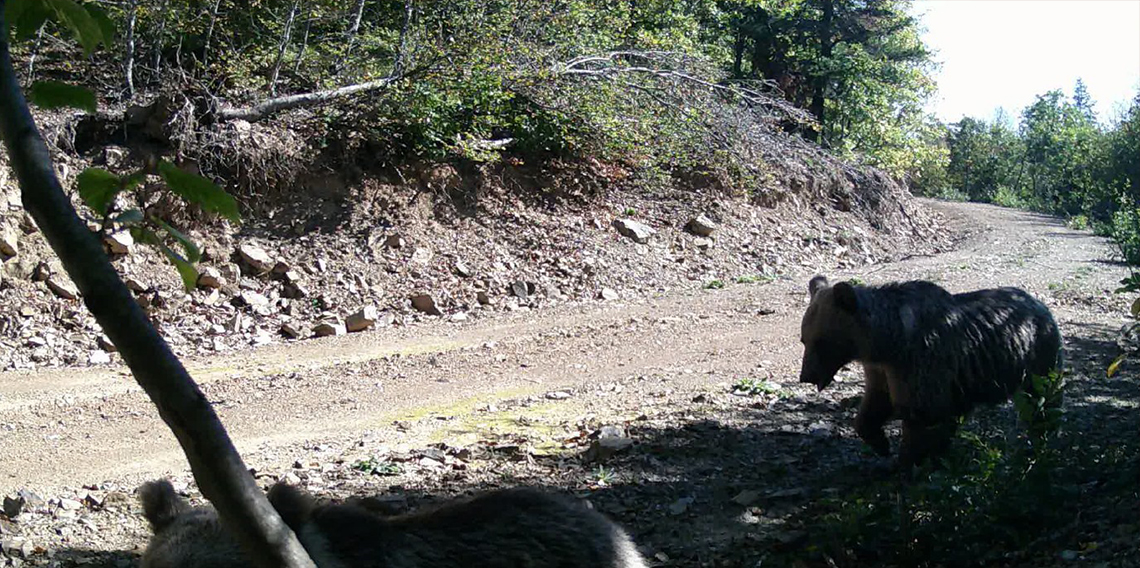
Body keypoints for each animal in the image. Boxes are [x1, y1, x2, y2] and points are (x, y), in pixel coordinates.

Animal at [798, 273, 1062, 465]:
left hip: (1038, 356)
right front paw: (881, 444)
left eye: (822, 342)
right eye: (804, 339)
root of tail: (1039, 303)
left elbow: (923, 415)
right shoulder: (881, 370)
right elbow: (877, 402)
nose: (806, 376)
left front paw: (910, 463)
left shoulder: (922, 359)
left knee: (1042, 399)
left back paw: (1044, 435)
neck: (888, 341)